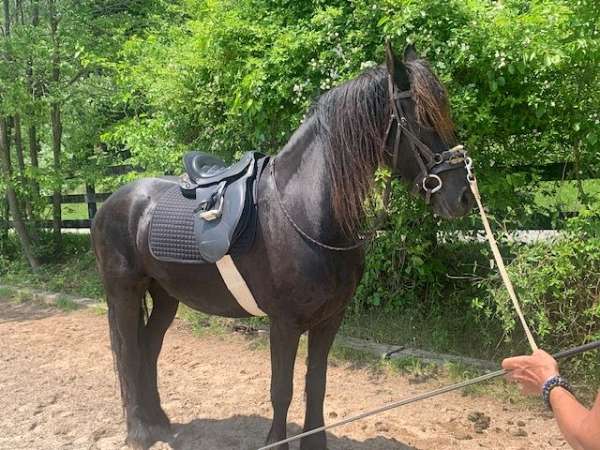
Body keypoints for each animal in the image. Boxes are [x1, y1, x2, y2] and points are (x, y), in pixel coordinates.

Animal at [91, 43, 474, 450]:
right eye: (420, 117)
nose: (462, 196)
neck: (306, 210)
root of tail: (112, 202)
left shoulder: (330, 319)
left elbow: (316, 383)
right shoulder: (285, 323)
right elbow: (282, 390)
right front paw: (277, 440)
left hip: (165, 295)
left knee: (148, 349)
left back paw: (160, 423)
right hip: (124, 292)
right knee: (127, 352)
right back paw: (139, 431)